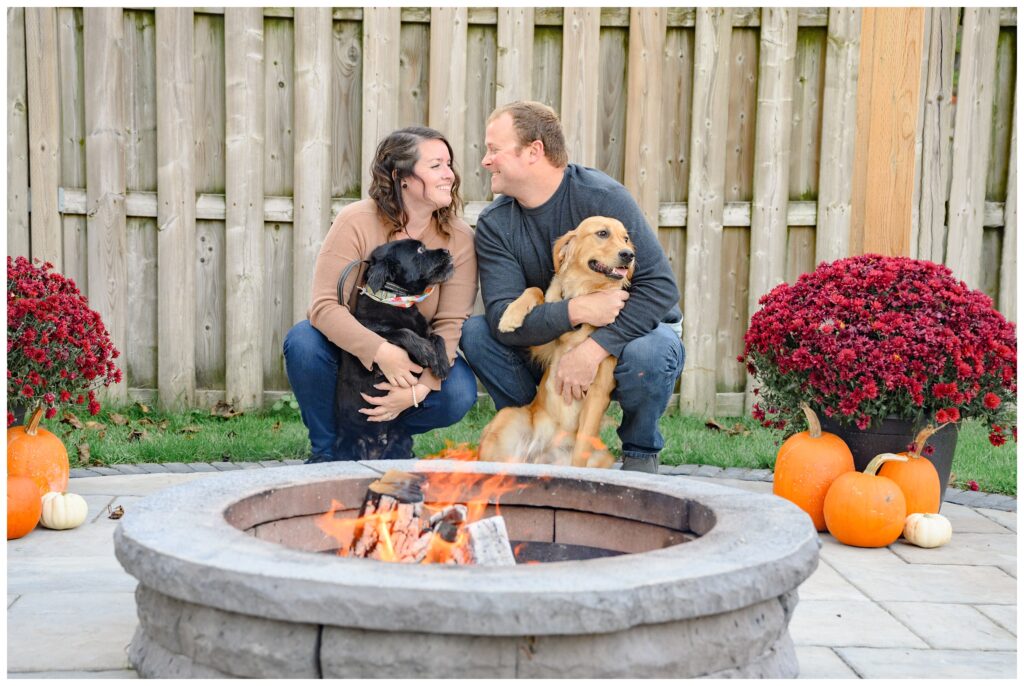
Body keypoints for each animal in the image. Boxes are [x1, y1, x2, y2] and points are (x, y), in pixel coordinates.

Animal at [325, 239, 454, 464]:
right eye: (420, 249)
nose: (447, 250)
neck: (395, 300)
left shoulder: (425, 331)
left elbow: (438, 337)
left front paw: (442, 364)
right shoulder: (371, 337)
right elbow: (399, 332)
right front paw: (425, 351)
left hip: (401, 440)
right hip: (348, 445)